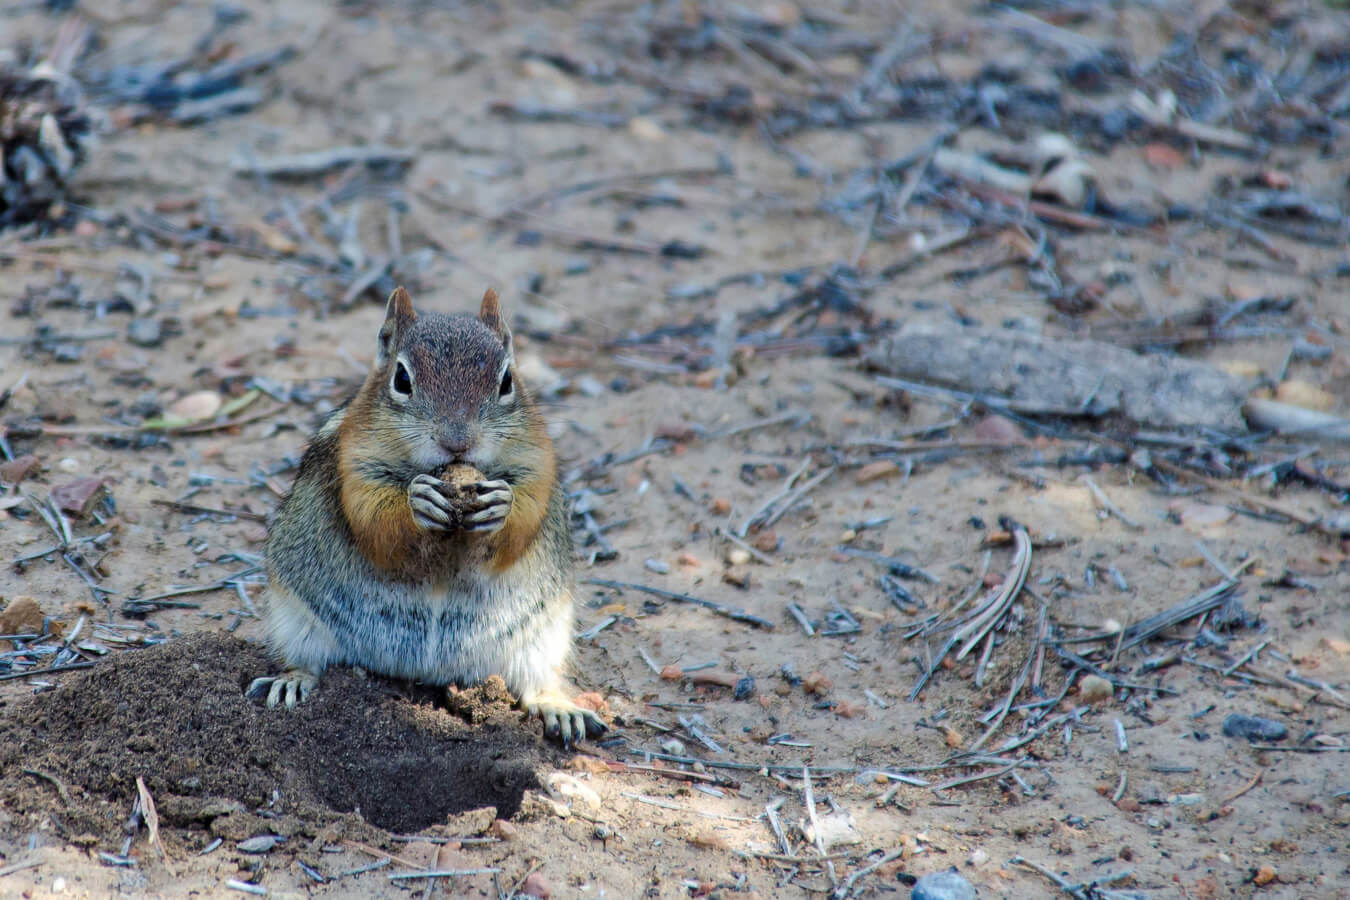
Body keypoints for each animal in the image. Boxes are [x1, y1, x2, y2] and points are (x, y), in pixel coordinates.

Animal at [249, 284, 607, 744]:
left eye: (507, 380)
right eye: (402, 379)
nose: (457, 442)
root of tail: (425, 670)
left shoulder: (536, 462)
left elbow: (527, 511)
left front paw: (501, 505)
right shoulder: (355, 464)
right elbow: (372, 518)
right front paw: (417, 504)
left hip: (542, 640)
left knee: (535, 685)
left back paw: (558, 706)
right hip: (293, 616)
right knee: (306, 660)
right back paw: (292, 680)